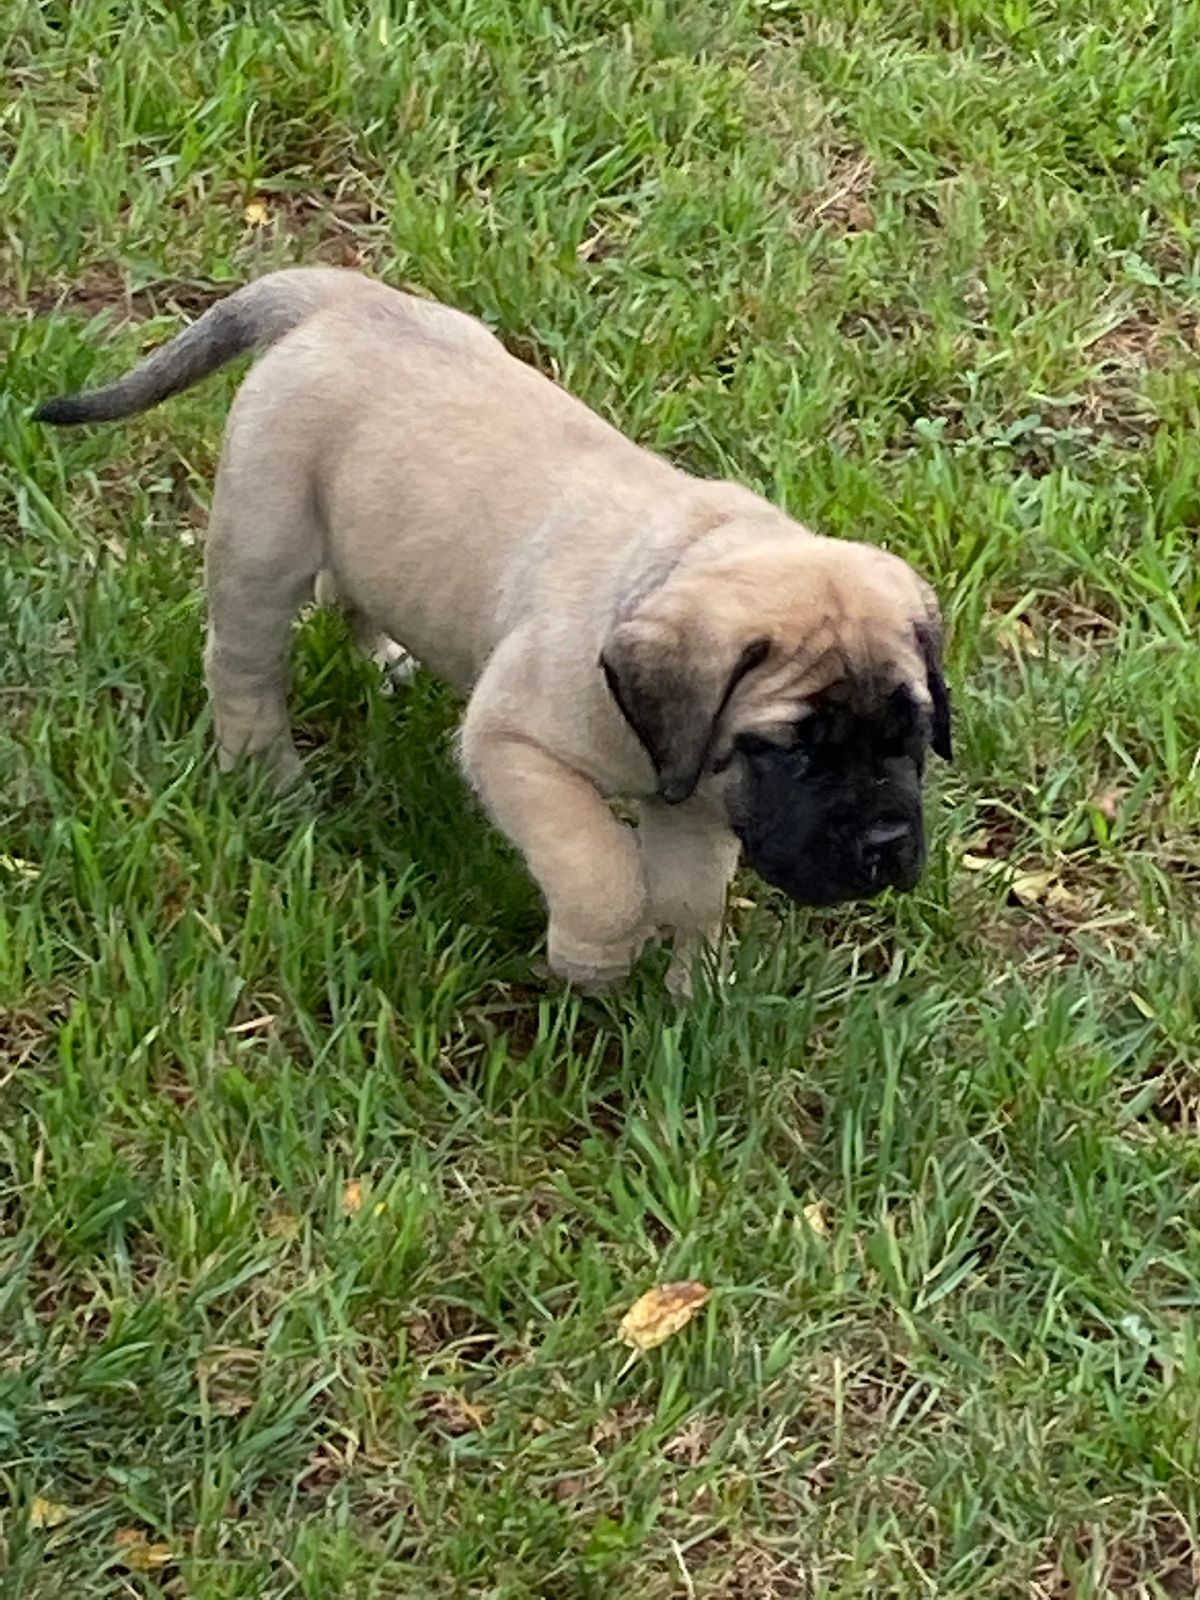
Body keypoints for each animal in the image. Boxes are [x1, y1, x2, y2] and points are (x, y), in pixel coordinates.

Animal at [34, 268, 952, 994]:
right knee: (243, 666)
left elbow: (690, 889)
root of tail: (339, 296)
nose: (886, 843)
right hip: (263, 541)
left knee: (348, 588)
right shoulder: (518, 749)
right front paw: (595, 962)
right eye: (796, 751)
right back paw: (268, 779)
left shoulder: (699, 792)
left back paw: (381, 661)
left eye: (910, 734)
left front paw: (698, 990)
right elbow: (601, 870)